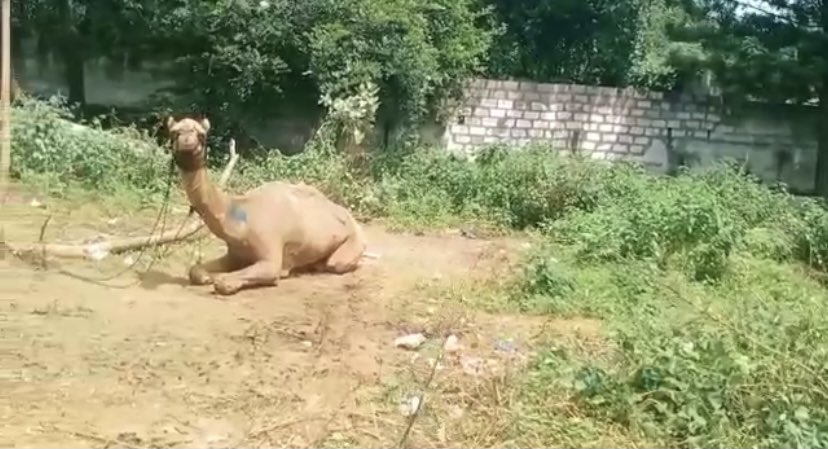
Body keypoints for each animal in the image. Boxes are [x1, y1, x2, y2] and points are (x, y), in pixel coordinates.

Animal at [166, 115, 367, 295]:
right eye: (175, 132)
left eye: (201, 134)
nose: (187, 141)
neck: (240, 222)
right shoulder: (234, 254)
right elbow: (195, 270)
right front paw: (206, 276)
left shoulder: (269, 251)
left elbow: (227, 281)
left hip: (353, 240)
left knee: (335, 263)